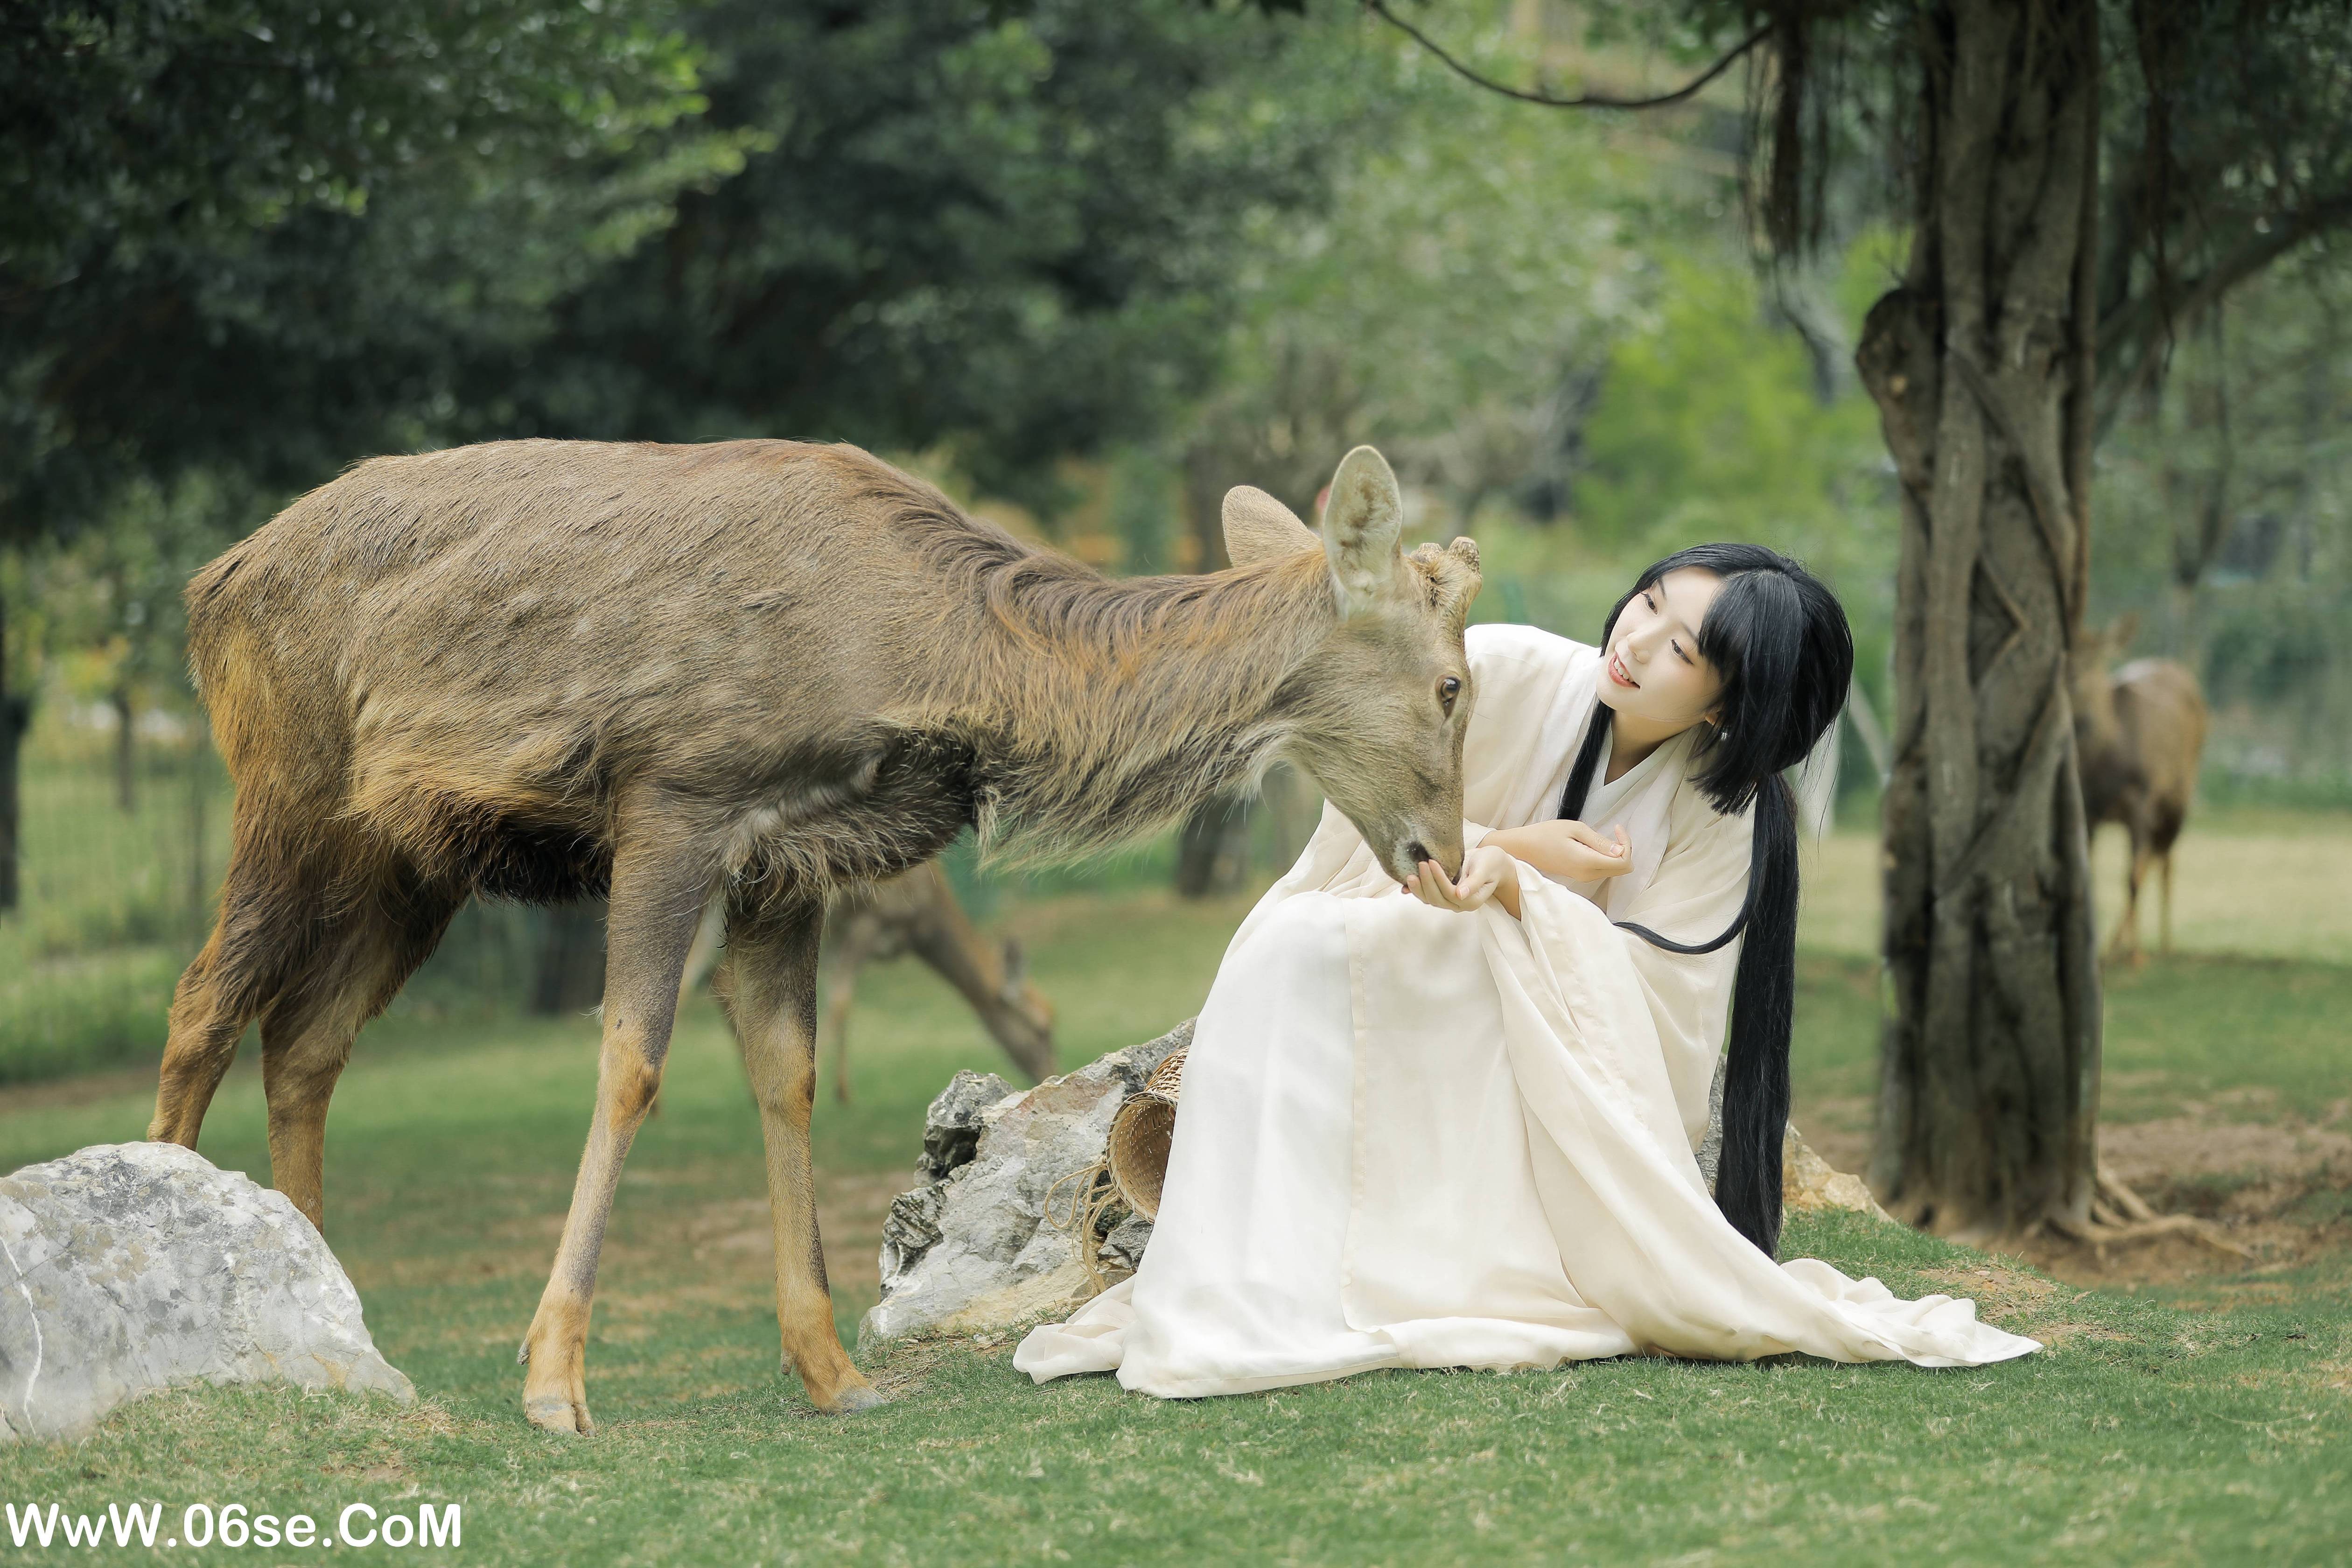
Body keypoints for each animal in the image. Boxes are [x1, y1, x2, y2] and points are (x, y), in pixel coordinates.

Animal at [148, 438, 1479, 1434]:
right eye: (1454, 683)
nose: (1448, 859)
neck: (945, 663)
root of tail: (207, 587)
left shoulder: (789, 863)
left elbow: (782, 1072)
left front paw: (831, 1371)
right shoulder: (676, 798)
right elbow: (631, 1062)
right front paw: (554, 1380)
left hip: (413, 855)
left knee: (305, 1039)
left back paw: (337, 1324)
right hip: (290, 785)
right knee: (205, 1003)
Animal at [2073, 617, 2209, 964]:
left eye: (2096, 659)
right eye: (2064, 656)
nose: (2081, 719)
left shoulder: (2141, 798)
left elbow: (2131, 877)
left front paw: (2137, 957)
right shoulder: (2089, 808)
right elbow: (2092, 877)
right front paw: (2098, 949)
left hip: (2179, 794)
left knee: (2164, 860)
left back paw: (2164, 943)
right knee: (2151, 857)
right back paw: (2116, 944)